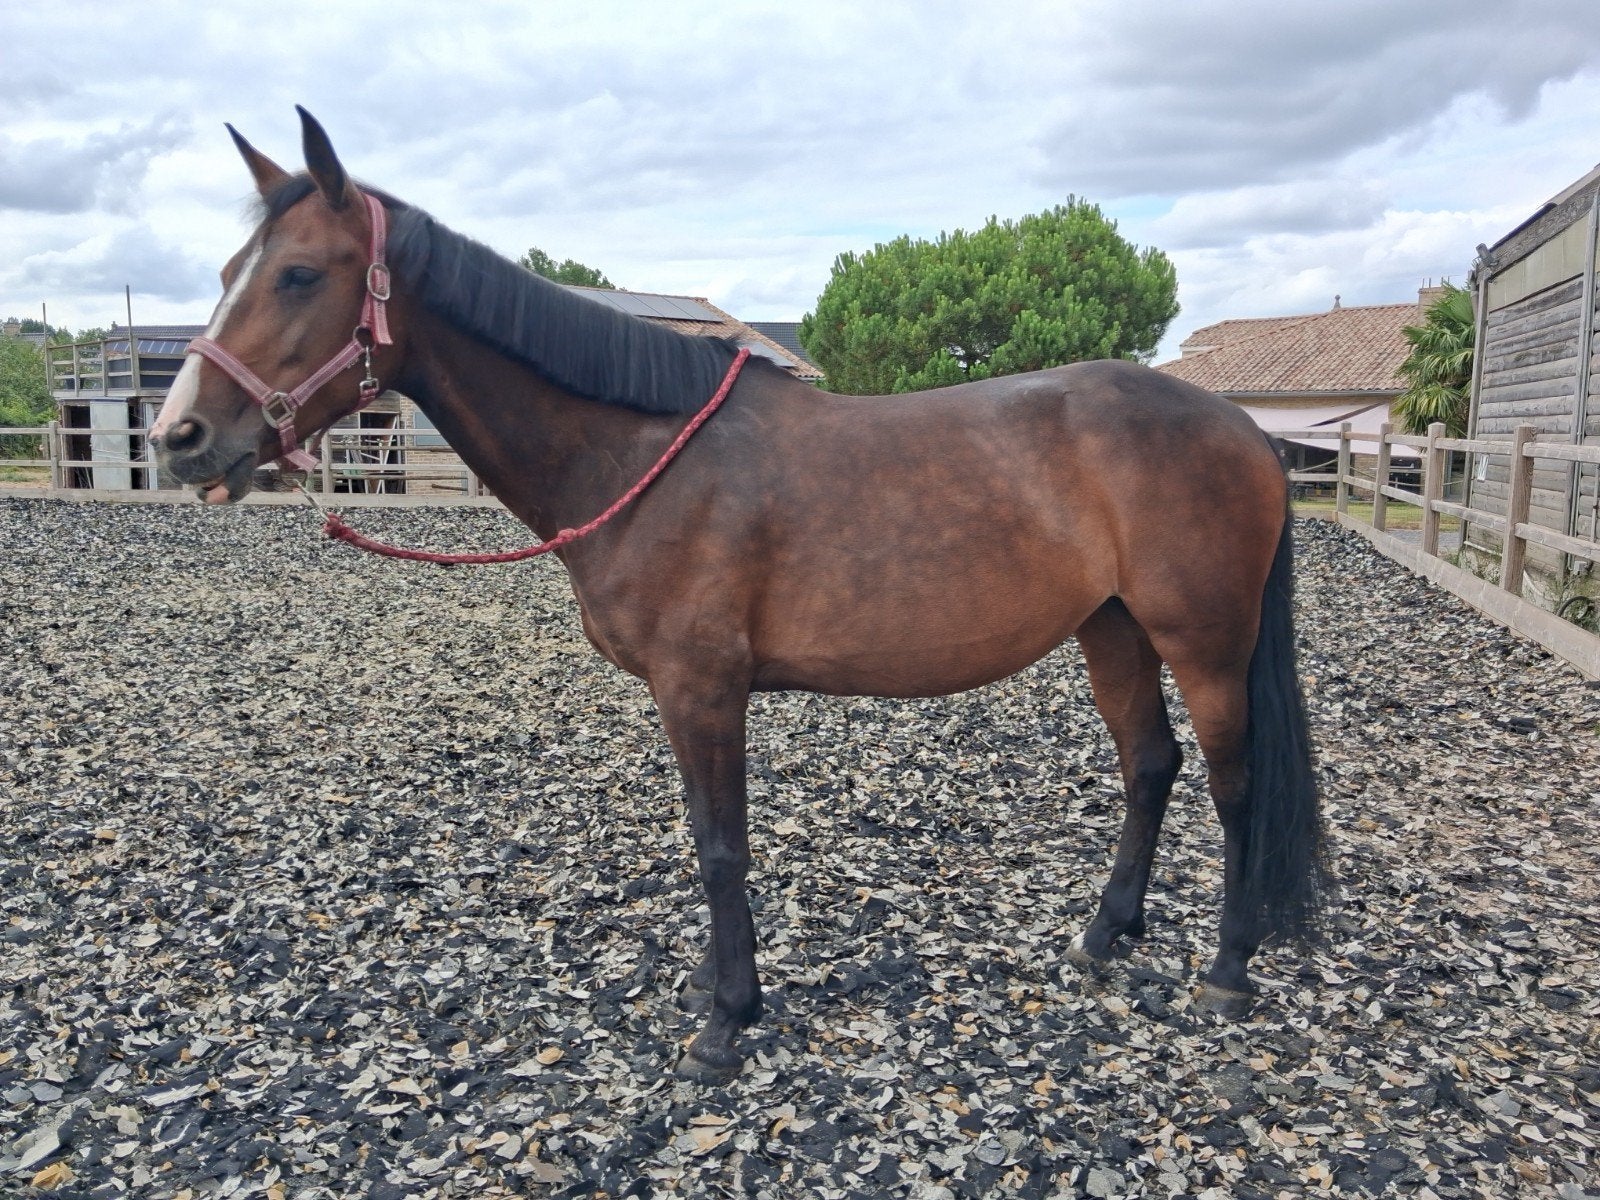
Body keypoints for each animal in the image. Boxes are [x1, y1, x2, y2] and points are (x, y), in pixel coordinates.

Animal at [149, 108, 1328, 1083]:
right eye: (232, 267)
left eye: (300, 275)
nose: (179, 437)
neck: (643, 451)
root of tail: (1246, 433)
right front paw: (723, 995)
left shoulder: (702, 688)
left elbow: (721, 849)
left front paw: (725, 1021)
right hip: (1111, 628)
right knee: (1149, 765)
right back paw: (1104, 934)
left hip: (1203, 639)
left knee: (1232, 784)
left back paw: (1227, 971)